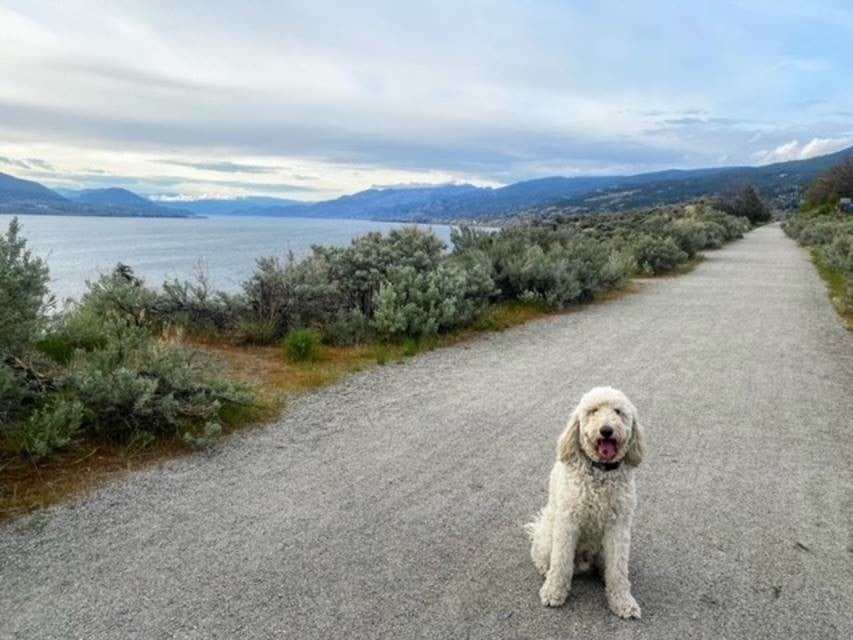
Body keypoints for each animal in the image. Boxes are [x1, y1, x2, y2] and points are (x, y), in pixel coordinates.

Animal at [524, 384, 644, 620]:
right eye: (593, 411)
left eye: (618, 412)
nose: (606, 430)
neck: (600, 472)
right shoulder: (568, 522)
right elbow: (561, 562)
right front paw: (554, 591)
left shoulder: (618, 527)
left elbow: (618, 570)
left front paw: (623, 602)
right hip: (548, 536)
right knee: (543, 556)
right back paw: (545, 569)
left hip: (602, 547)